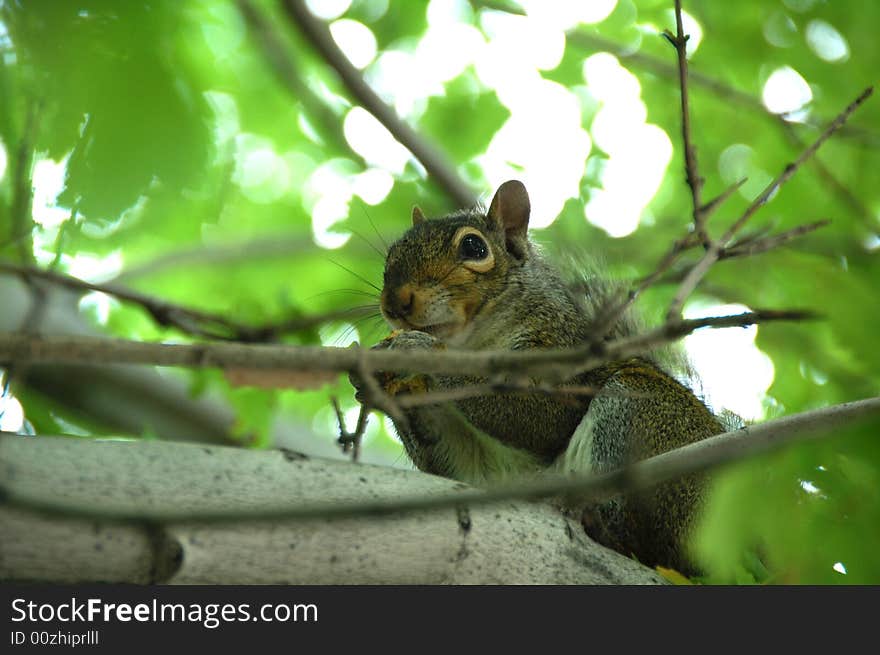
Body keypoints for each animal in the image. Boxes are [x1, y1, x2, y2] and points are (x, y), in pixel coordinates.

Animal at [354, 179, 724, 576]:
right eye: (392, 253)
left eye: (473, 247)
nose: (395, 302)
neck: (476, 341)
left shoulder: (562, 354)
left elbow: (540, 417)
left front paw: (423, 352)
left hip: (649, 419)